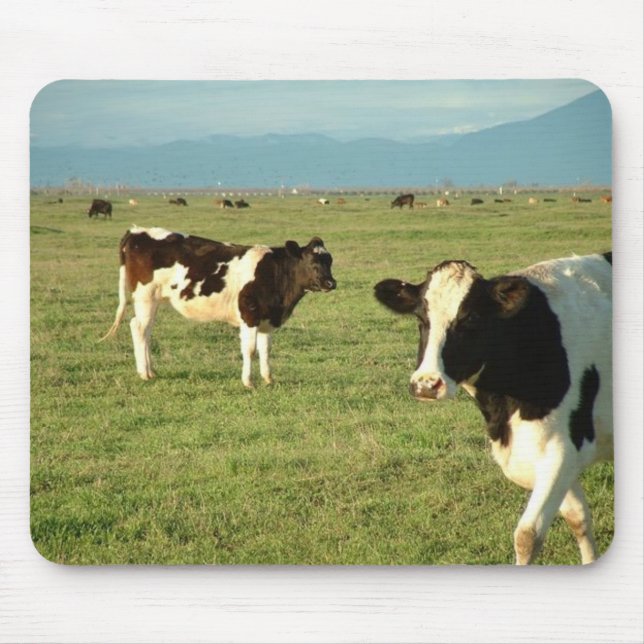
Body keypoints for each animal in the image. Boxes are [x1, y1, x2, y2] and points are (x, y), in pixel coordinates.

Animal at [101, 226, 336, 388]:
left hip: (153, 300)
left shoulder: (267, 319)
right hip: (145, 296)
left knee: (147, 331)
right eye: (311, 262)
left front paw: (268, 378)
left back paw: (152, 371)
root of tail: (136, 232)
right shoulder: (249, 315)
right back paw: (144, 373)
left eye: (329, 261)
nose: (331, 283)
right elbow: (250, 350)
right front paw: (248, 382)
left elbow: (265, 350)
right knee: (138, 328)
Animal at [374, 251, 612, 565]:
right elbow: (579, 518)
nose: (426, 384)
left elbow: (527, 535)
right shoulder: (552, 455)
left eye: (471, 318)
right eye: (421, 318)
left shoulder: (561, 449)